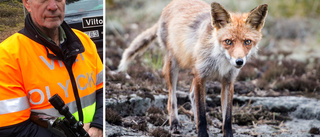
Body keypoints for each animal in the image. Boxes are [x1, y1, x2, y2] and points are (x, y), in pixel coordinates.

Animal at [117, 0, 268, 136]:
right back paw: (174, 123)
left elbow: (227, 119)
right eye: (228, 42)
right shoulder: (200, 76)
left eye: (247, 42)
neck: (220, 61)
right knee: (172, 99)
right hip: (174, 65)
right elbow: (201, 114)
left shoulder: (228, 81)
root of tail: (171, 4)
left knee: (191, 95)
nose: (239, 62)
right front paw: (202, 133)